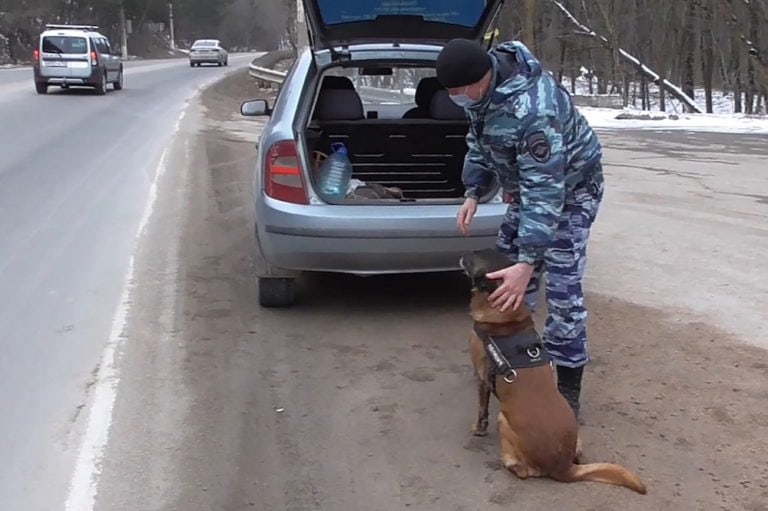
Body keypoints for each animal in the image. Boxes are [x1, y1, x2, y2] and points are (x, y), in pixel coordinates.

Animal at [462, 249, 648, 496]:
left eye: (475, 258)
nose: (464, 254)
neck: (506, 315)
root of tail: (564, 467)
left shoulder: (483, 378)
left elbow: (482, 410)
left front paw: (479, 430)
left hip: (504, 420)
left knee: (522, 470)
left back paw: (510, 464)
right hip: (576, 438)